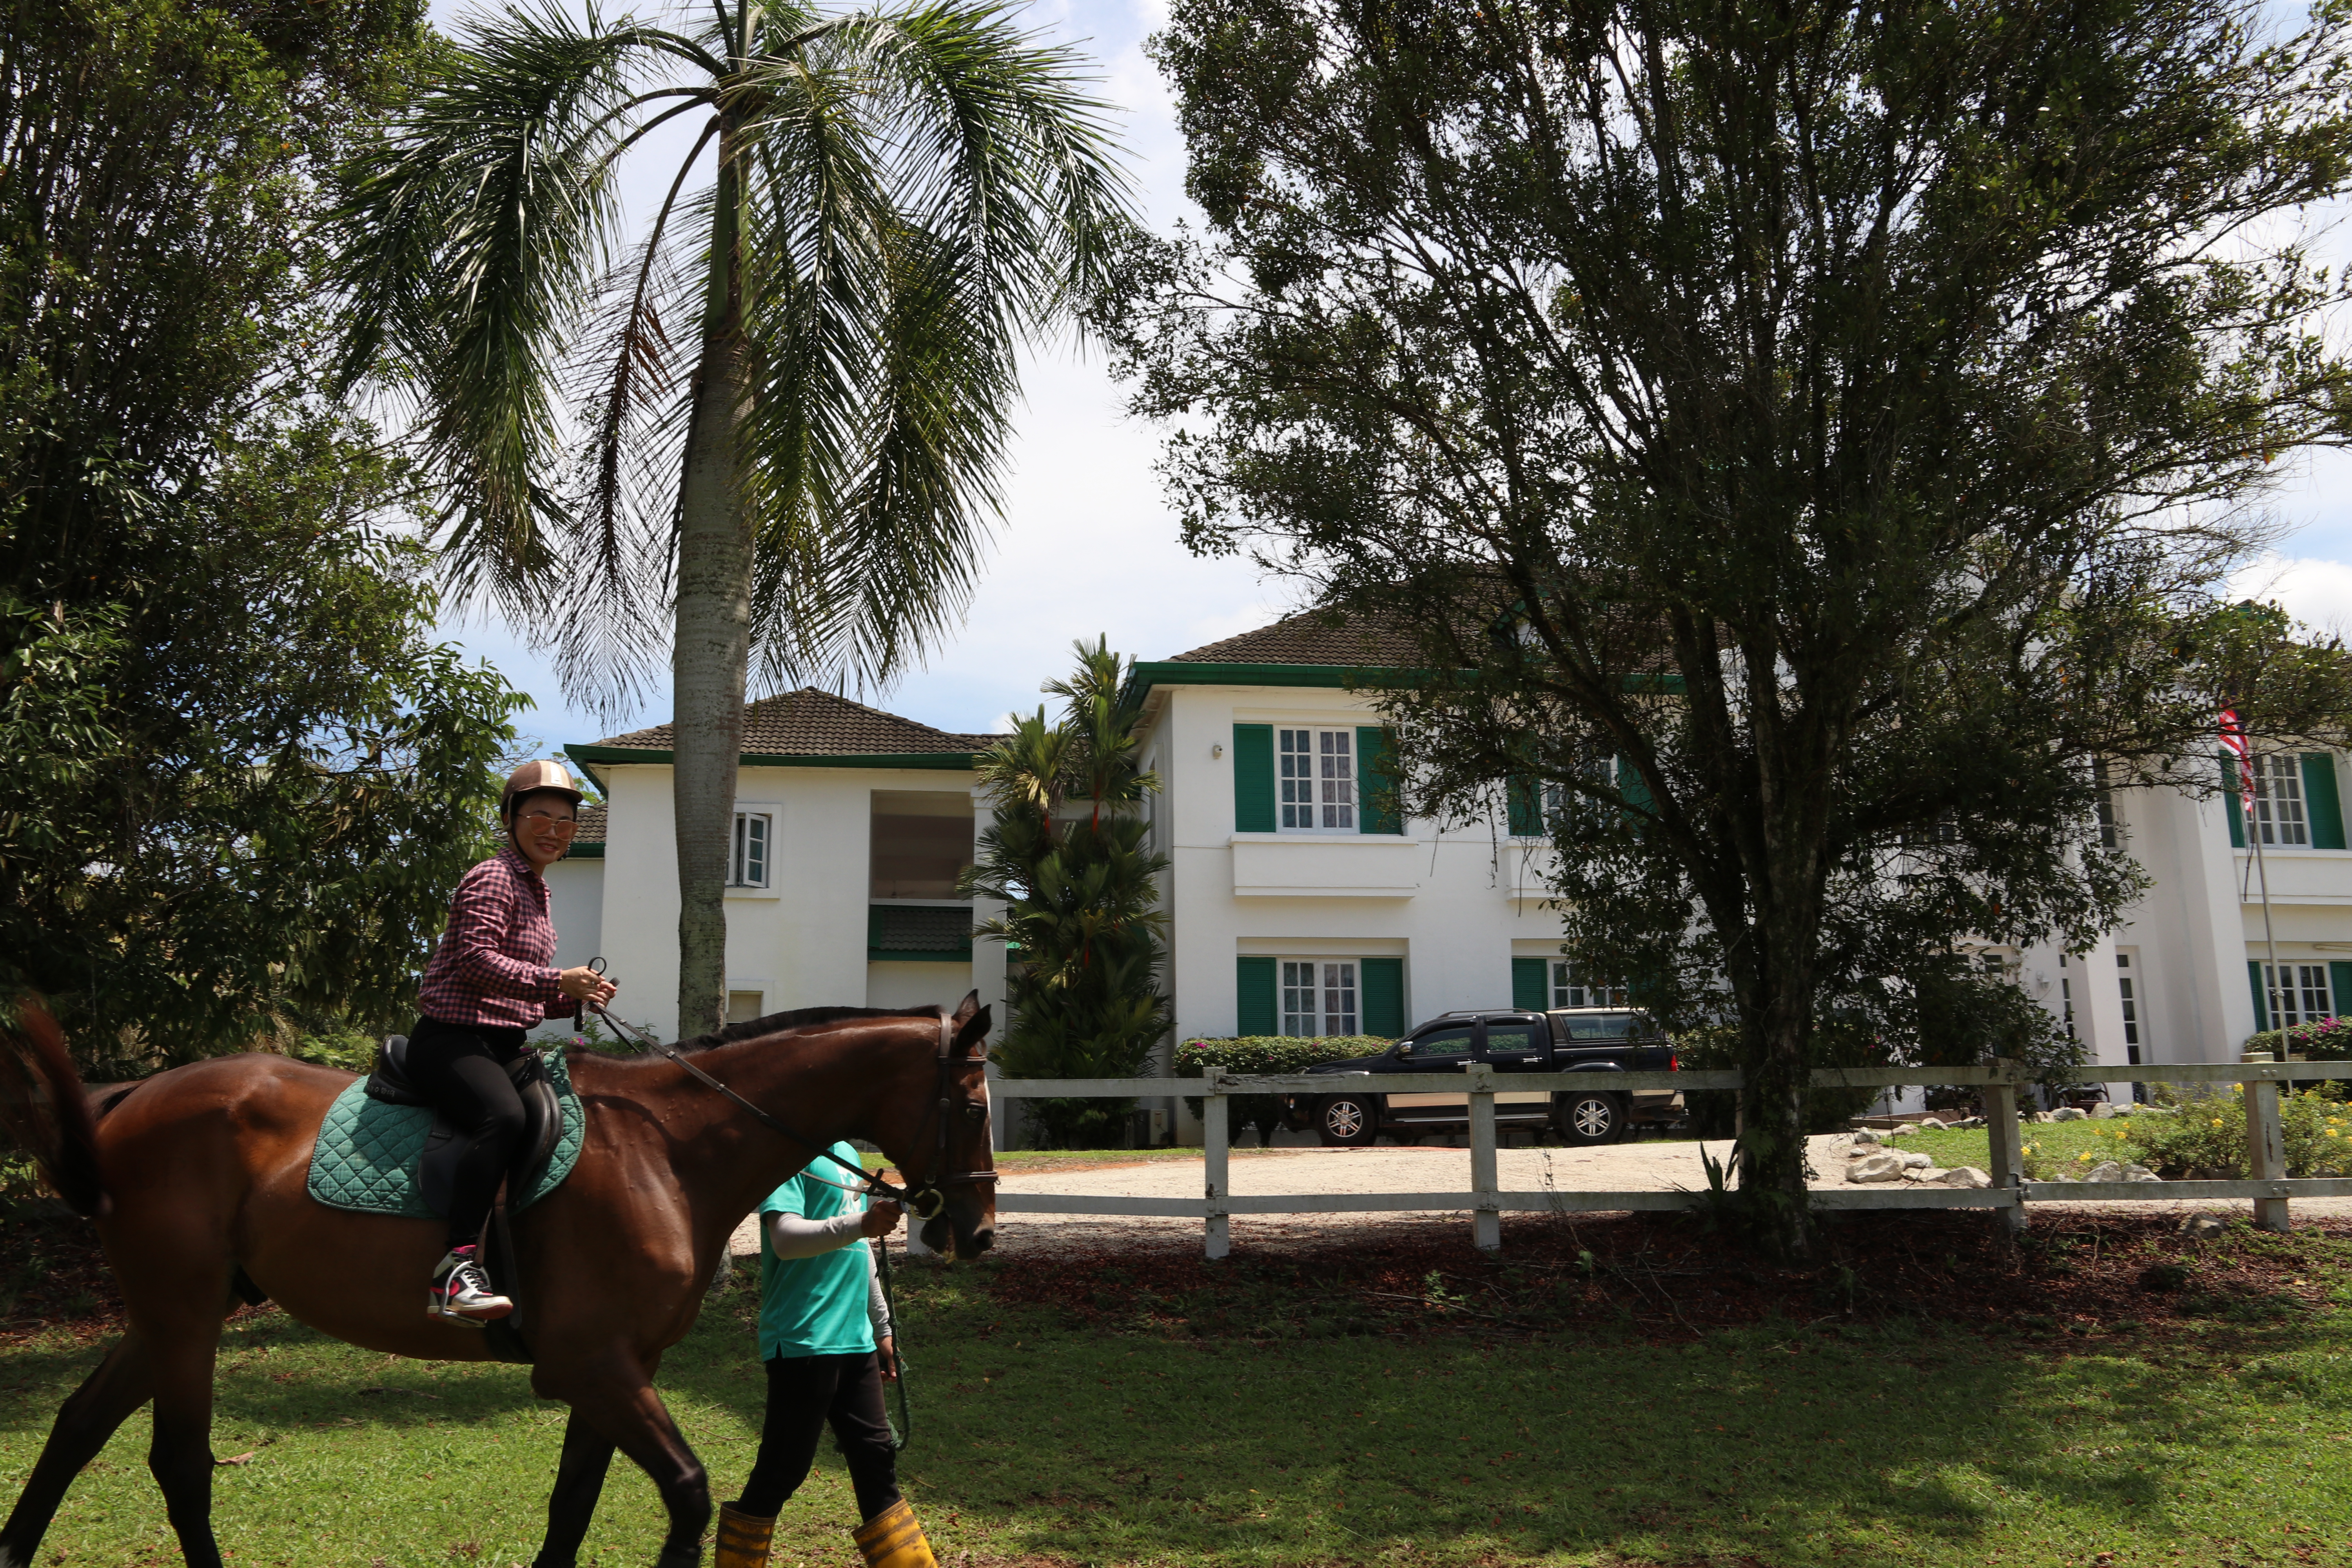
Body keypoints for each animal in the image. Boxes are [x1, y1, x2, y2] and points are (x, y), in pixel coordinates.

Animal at [0, 993, 997, 1568]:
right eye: (975, 1102)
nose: (979, 1232)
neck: (667, 1150)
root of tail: (131, 1096)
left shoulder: (617, 1369)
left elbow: (572, 1505)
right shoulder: (592, 1365)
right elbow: (685, 1491)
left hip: (173, 1315)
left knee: (79, 1424)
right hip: (185, 1320)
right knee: (178, 1462)